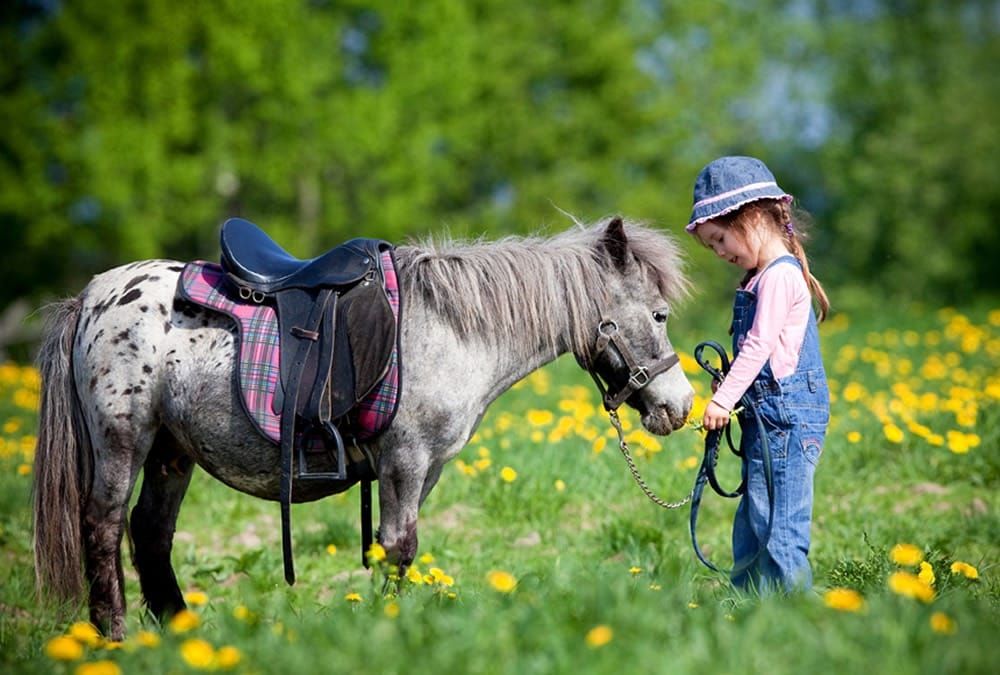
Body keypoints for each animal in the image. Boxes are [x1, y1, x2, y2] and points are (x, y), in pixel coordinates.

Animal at [29, 218, 688, 640]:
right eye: (658, 315)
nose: (680, 406)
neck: (451, 329)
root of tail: (93, 296)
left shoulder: (424, 469)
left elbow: (391, 547)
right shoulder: (405, 458)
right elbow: (400, 547)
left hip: (172, 449)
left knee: (151, 533)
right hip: (123, 439)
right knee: (104, 527)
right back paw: (114, 638)